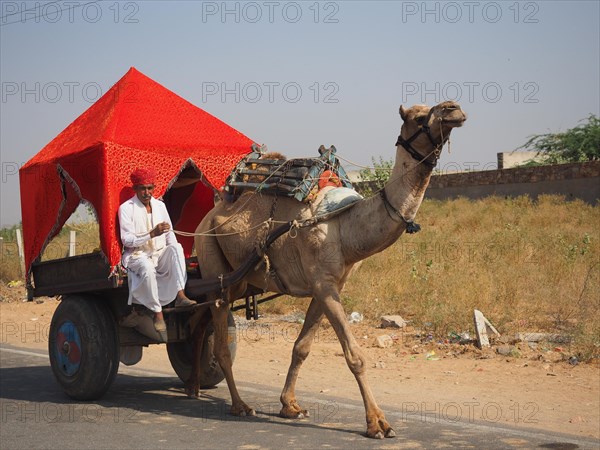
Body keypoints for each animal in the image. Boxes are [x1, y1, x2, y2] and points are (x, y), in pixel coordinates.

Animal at [190, 100, 466, 438]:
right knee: (220, 341)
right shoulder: (323, 282)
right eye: (417, 116)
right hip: (211, 254)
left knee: (199, 319)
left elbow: (302, 347)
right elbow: (355, 356)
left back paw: (193, 387)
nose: (454, 109)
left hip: (237, 279)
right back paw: (240, 405)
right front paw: (378, 423)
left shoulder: (328, 285)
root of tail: (209, 215)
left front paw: (290, 406)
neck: (345, 225)